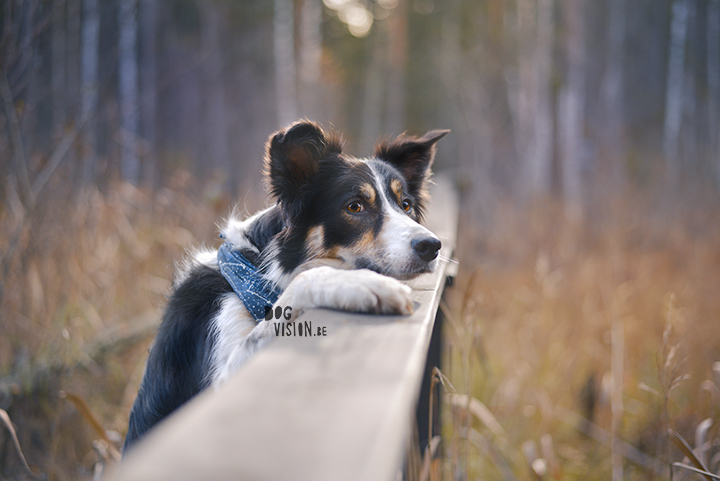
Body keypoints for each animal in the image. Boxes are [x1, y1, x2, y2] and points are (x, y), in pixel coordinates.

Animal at [124, 120, 450, 450]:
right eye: (354, 207)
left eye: (406, 205)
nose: (431, 246)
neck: (255, 277)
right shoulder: (219, 384)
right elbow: (305, 280)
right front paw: (360, 283)